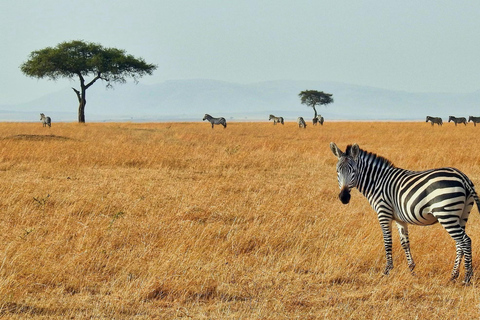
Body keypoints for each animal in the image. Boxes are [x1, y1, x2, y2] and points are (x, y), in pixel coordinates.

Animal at [330, 144, 480, 284]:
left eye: (353, 171)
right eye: (337, 171)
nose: (344, 198)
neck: (376, 182)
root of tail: (462, 176)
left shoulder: (384, 212)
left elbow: (387, 242)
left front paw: (387, 270)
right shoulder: (399, 218)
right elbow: (405, 243)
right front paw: (411, 269)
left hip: (445, 213)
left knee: (465, 241)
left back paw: (467, 278)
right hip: (462, 215)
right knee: (460, 243)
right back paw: (453, 276)